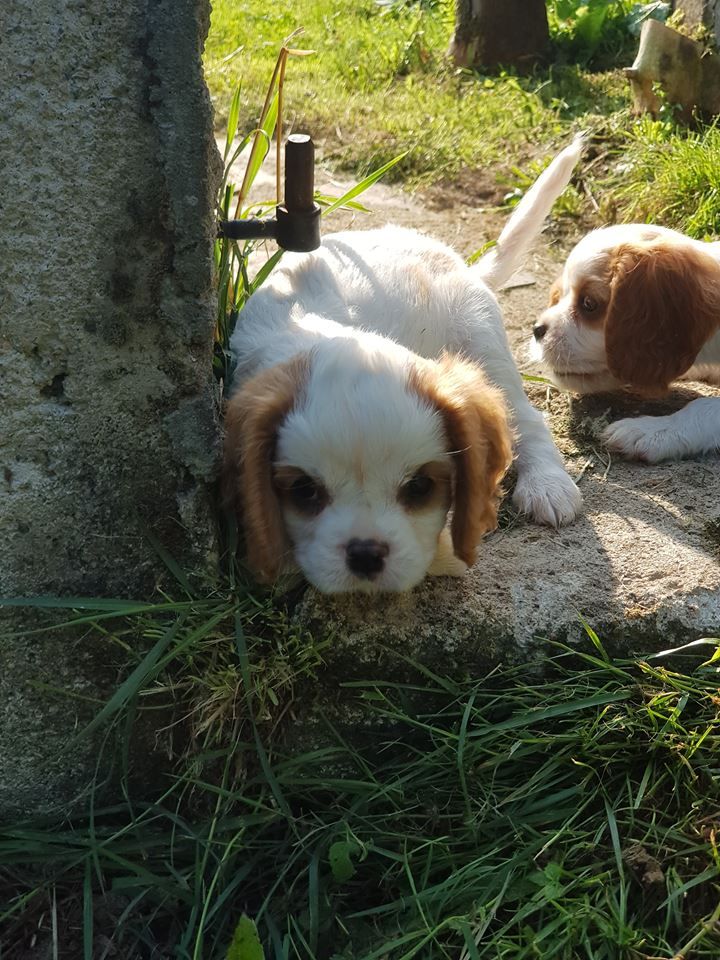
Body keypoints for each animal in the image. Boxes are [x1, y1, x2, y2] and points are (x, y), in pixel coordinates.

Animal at [224, 138, 584, 594]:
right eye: (305, 490)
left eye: (418, 487)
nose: (365, 553)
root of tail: (464, 265)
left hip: (484, 346)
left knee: (529, 420)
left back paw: (548, 486)